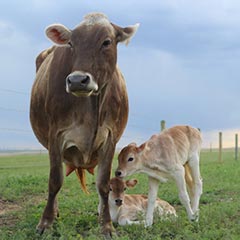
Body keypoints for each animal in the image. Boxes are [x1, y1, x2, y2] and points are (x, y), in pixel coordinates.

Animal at [30, 12, 139, 237]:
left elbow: (104, 184)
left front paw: (106, 225)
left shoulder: (110, 138)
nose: (77, 80)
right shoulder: (55, 136)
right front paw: (45, 222)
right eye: (71, 43)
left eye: (106, 41)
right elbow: (54, 181)